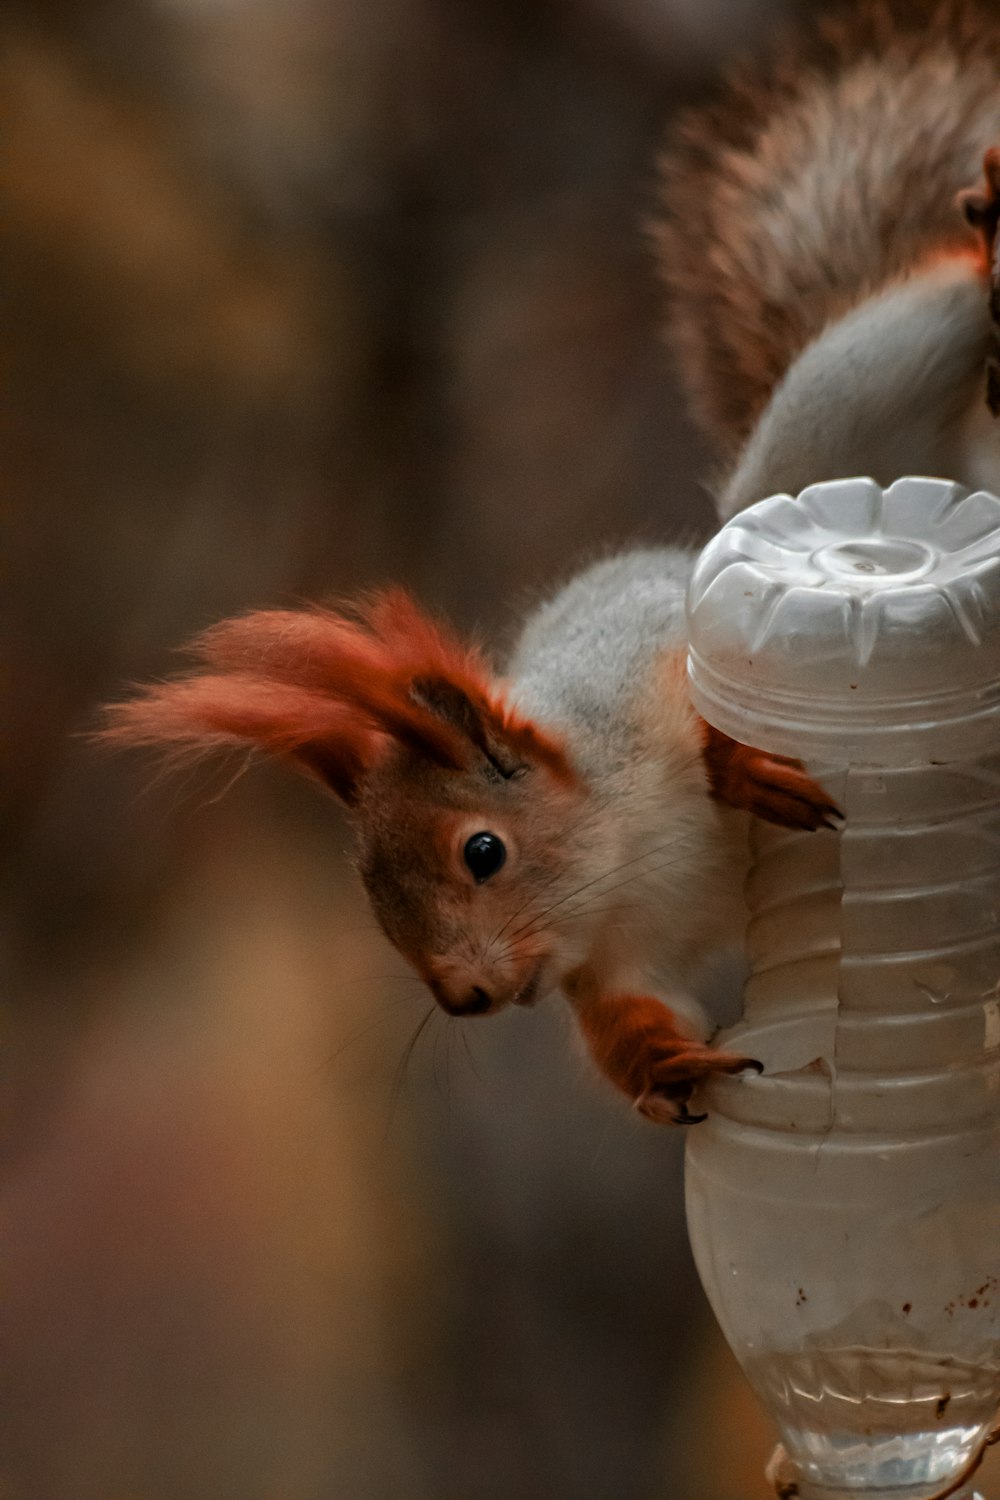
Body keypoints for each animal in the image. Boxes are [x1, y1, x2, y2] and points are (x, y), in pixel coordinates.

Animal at [103, 2, 1000, 1128]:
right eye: (371, 895)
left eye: (482, 851)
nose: (466, 998)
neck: (618, 855)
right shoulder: (608, 959)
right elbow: (625, 1018)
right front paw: (666, 1069)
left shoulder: (650, 665)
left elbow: (707, 701)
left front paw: (741, 763)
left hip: (849, 391)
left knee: (933, 297)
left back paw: (983, 233)